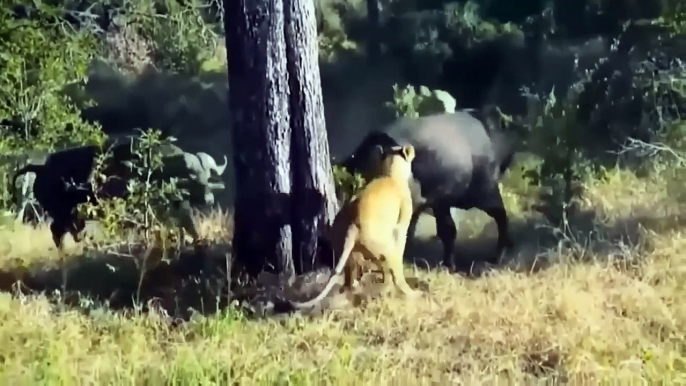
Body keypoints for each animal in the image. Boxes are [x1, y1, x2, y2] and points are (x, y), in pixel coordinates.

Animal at [10, 137, 230, 252]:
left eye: (206, 176)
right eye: (191, 177)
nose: (209, 199)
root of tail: (42, 168)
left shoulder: (180, 208)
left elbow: (190, 227)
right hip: (63, 213)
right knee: (59, 231)